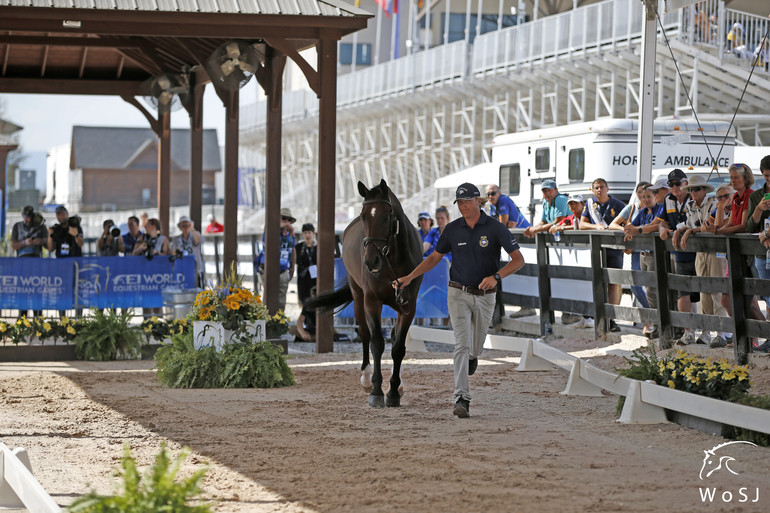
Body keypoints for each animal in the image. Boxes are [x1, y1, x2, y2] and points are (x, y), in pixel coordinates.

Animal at [304, 178, 420, 406]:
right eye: (364, 216)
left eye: (386, 216)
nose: (370, 262)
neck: (393, 259)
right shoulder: (372, 302)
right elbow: (376, 343)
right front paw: (376, 391)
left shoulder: (408, 306)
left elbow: (398, 348)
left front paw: (394, 391)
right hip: (358, 298)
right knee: (365, 334)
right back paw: (366, 378)